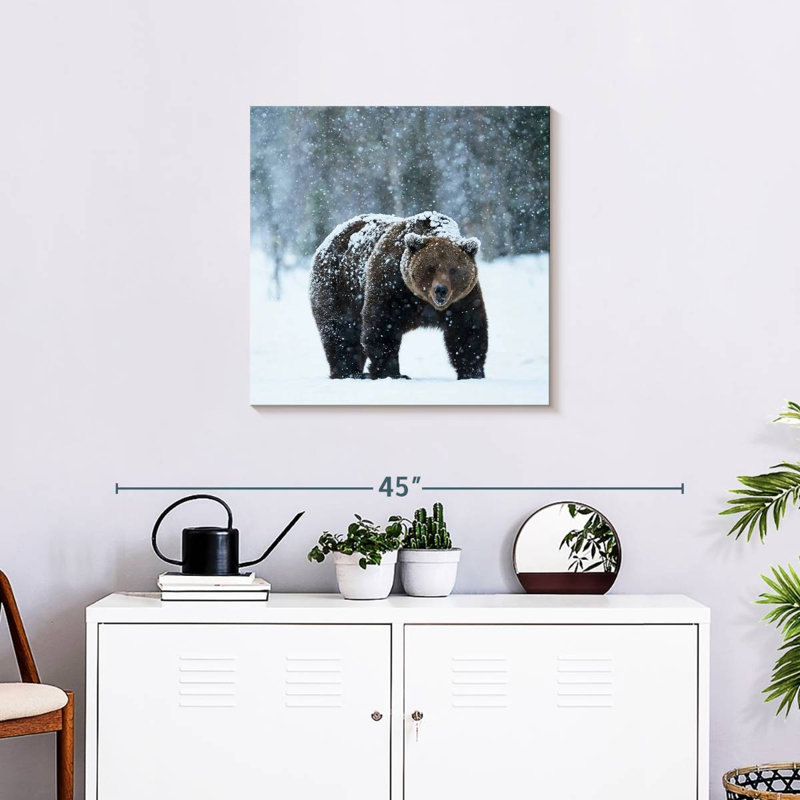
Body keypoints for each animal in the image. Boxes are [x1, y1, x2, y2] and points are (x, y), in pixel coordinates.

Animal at [309, 211, 488, 380]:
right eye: (430, 268)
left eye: (453, 269)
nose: (441, 289)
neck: (421, 300)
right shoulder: (391, 286)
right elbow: (381, 326)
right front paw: (392, 373)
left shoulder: (463, 299)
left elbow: (467, 330)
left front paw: (472, 372)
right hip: (338, 288)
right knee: (341, 332)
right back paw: (348, 372)